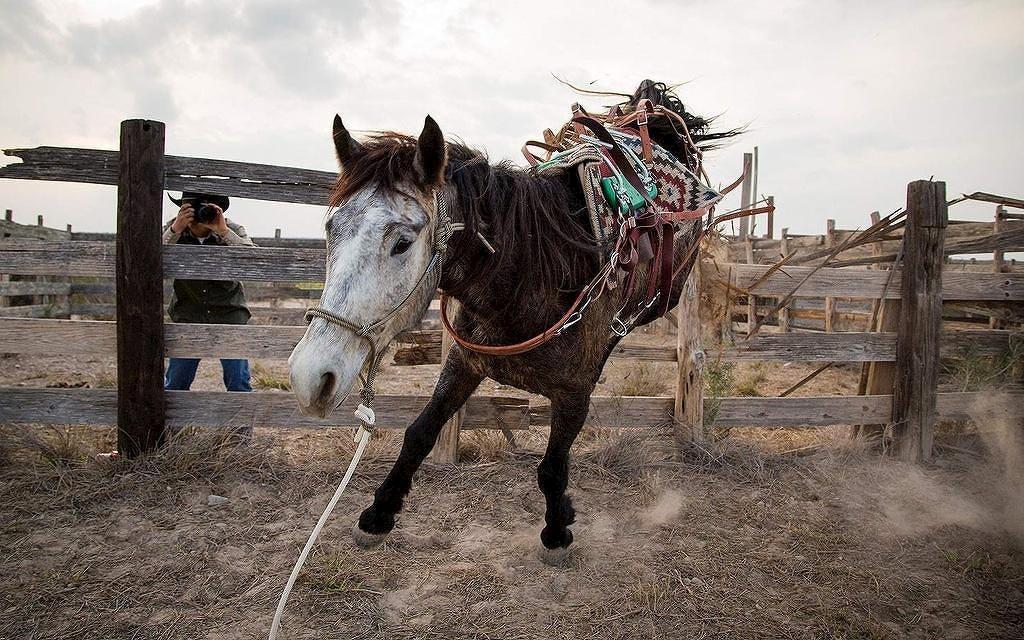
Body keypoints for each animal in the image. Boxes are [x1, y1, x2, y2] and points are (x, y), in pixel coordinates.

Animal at [288, 80, 737, 565]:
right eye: (331, 229)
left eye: (402, 243)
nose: (309, 377)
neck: (539, 268)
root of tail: (654, 116)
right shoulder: (463, 364)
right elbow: (419, 434)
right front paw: (378, 515)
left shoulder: (574, 393)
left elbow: (553, 468)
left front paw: (556, 532)